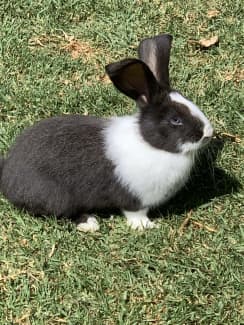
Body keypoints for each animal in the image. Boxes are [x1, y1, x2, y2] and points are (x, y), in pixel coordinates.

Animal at [0, 34, 214, 230]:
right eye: (175, 120)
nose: (208, 133)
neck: (150, 144)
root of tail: (7, 173)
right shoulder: (134, 200)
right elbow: (135, 214)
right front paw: (147, 226)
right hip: (58, 197)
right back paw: (90, 223)